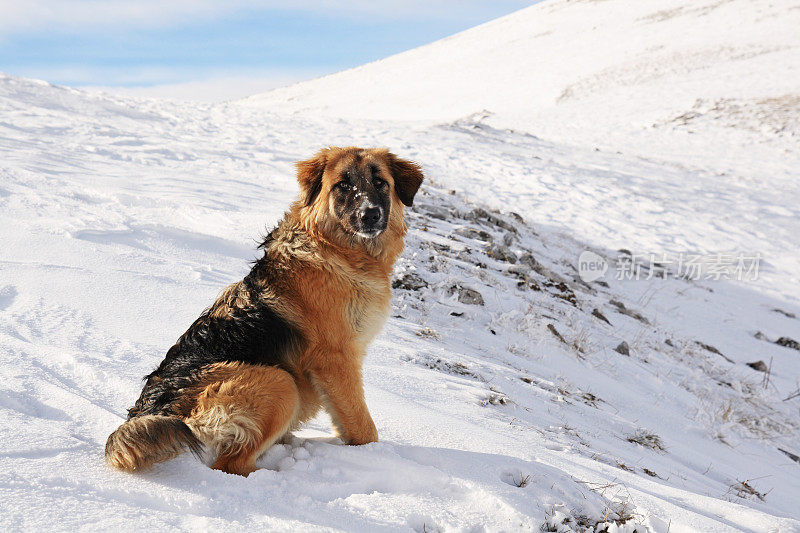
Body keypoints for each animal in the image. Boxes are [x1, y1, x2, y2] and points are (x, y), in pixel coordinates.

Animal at [106, 145, 424, 474]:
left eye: (380, 182)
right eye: (343, 185)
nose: (370, 214)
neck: (337, 251)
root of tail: (151, 410)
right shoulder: (335, 360)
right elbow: (363, 426)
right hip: (280, 382)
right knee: (231, 464)